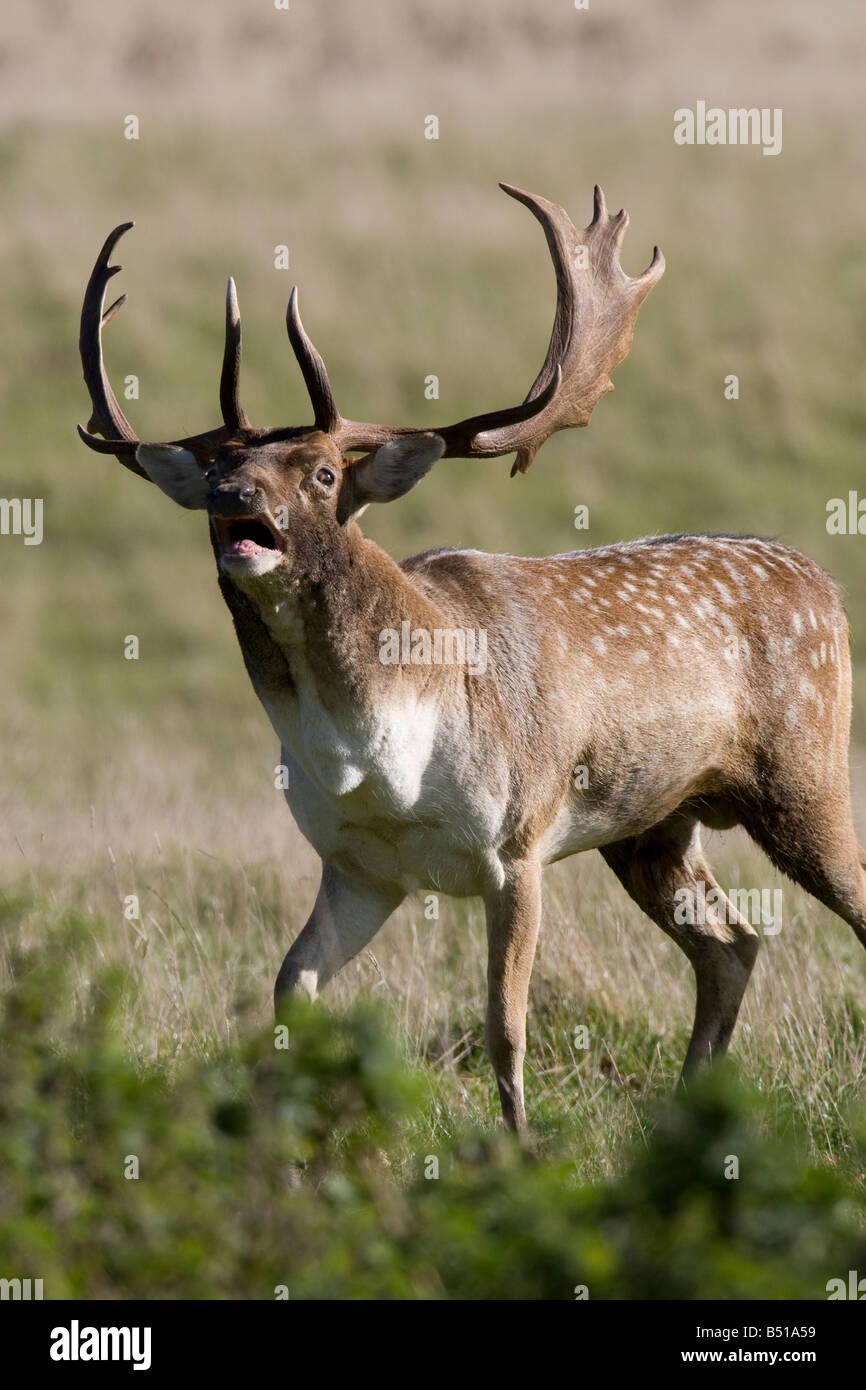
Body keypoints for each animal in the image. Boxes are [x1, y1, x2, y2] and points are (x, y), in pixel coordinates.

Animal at [79, 184, 866, 1128]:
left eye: (321, 474)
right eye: (219, 469)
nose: (235, 497)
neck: (381, 758)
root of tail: (825, 584)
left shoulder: (518, 843)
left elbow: (505, 1028)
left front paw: (520, 1146)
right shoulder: (357, 866)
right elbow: (288, 989)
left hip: (804, 774)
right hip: (655, 822)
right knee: (731, 941)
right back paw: (688, 1110)